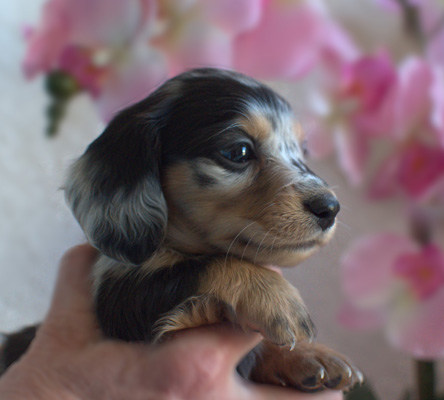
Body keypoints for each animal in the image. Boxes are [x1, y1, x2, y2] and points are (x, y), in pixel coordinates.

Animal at [0, 68, 360, 390]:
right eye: (238, 151)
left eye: (303, 151)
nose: (330, 208)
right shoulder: (118, 297)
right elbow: (202, 267)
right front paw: (273, 296)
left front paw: (306, 357)